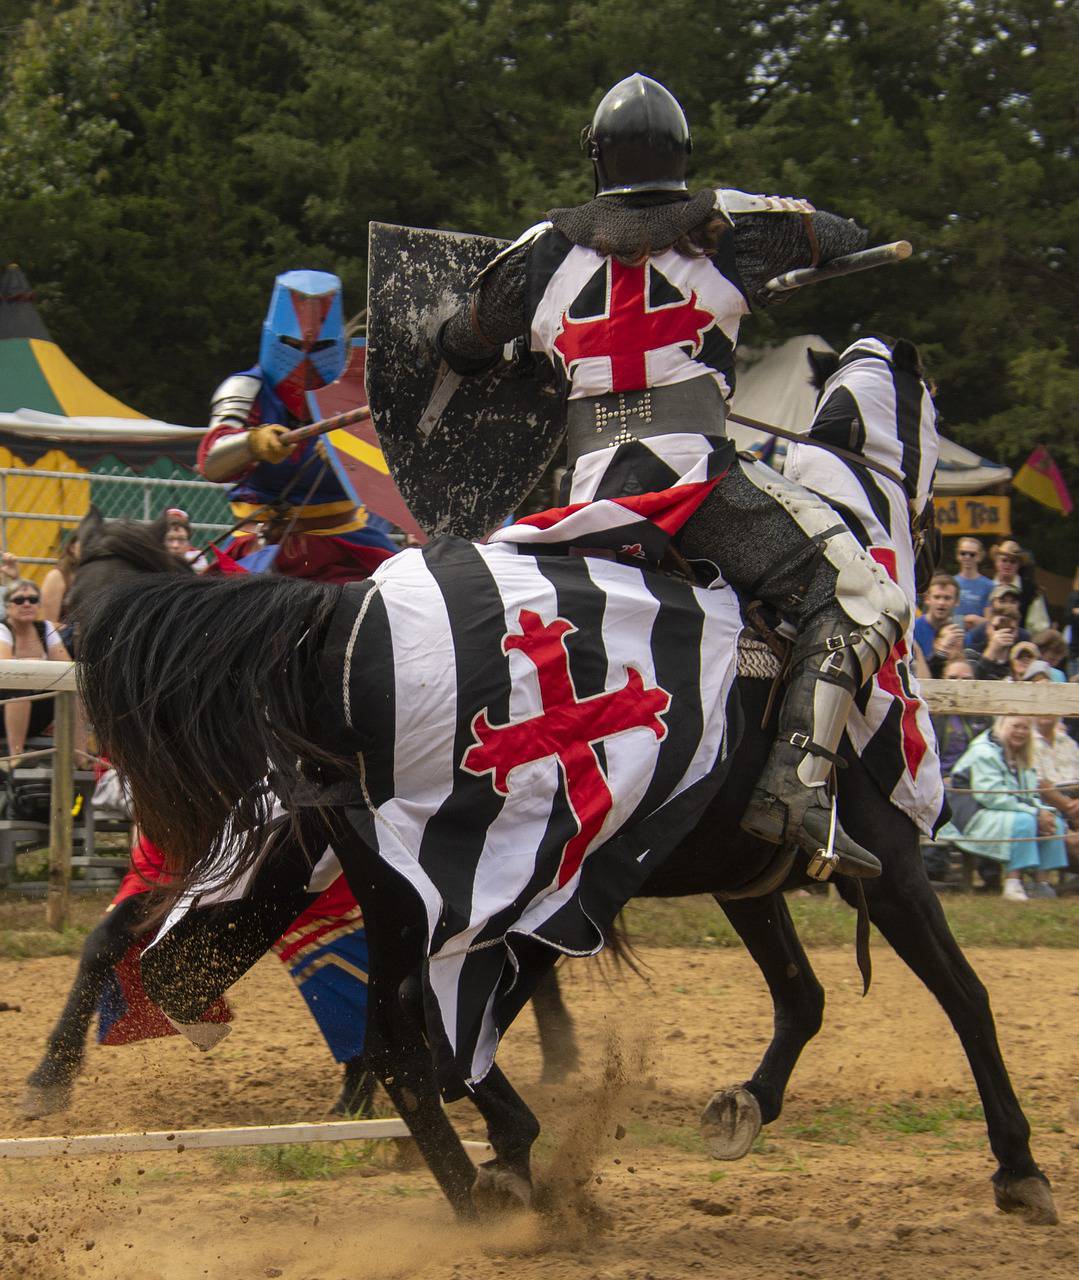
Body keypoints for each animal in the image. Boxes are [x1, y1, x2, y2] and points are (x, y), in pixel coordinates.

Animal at [78, 558, 1064, 1218]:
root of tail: (337, 619)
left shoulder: (745, 882)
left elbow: (803, 995)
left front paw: (745, 1104)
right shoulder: (891, 865)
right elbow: (964, 997)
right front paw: (1018, 1166)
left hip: (372, 876)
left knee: (380, 1025)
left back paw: (488, 1176)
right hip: (417, 887)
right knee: (411, 1030)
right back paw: (498, 1178)